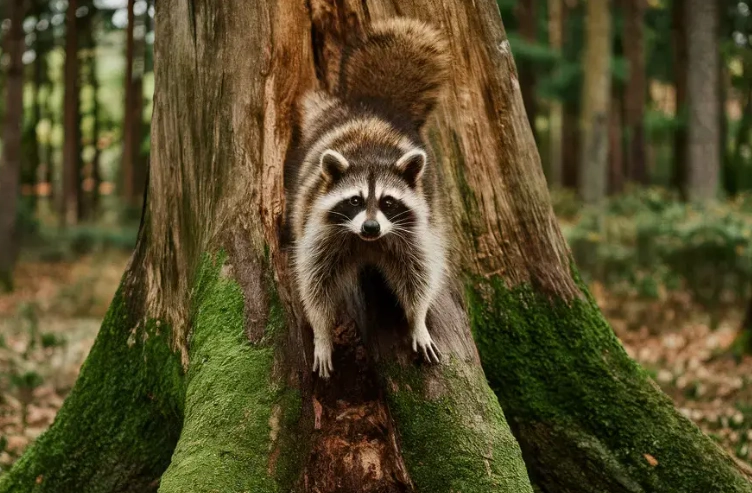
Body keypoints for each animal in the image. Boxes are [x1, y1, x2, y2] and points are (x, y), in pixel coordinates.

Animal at [287, 18, 451, 378]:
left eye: (388, 202)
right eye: (355, 201)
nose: (371, 228)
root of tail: (376, 104)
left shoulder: (414, 231)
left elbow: (419, 275)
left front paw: (418, 320)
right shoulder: (320, 230)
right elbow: (315, 285)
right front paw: (322, 334)